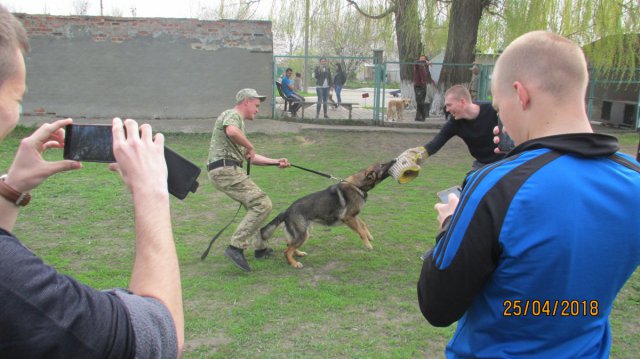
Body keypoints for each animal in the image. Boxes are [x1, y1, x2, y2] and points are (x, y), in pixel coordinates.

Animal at [260, 162, 396, 268]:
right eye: (382, 165)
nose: (394, 160)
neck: (357, 185)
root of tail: (286, 211)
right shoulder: (348, 218)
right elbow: (361, 231)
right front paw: (368, 245)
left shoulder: (354, 216)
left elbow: (363, 224)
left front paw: (369, 236)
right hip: (303, 234)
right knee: (286, 250)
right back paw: (294, 263)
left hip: (304, 233)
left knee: (289, 245)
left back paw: (298, 254)